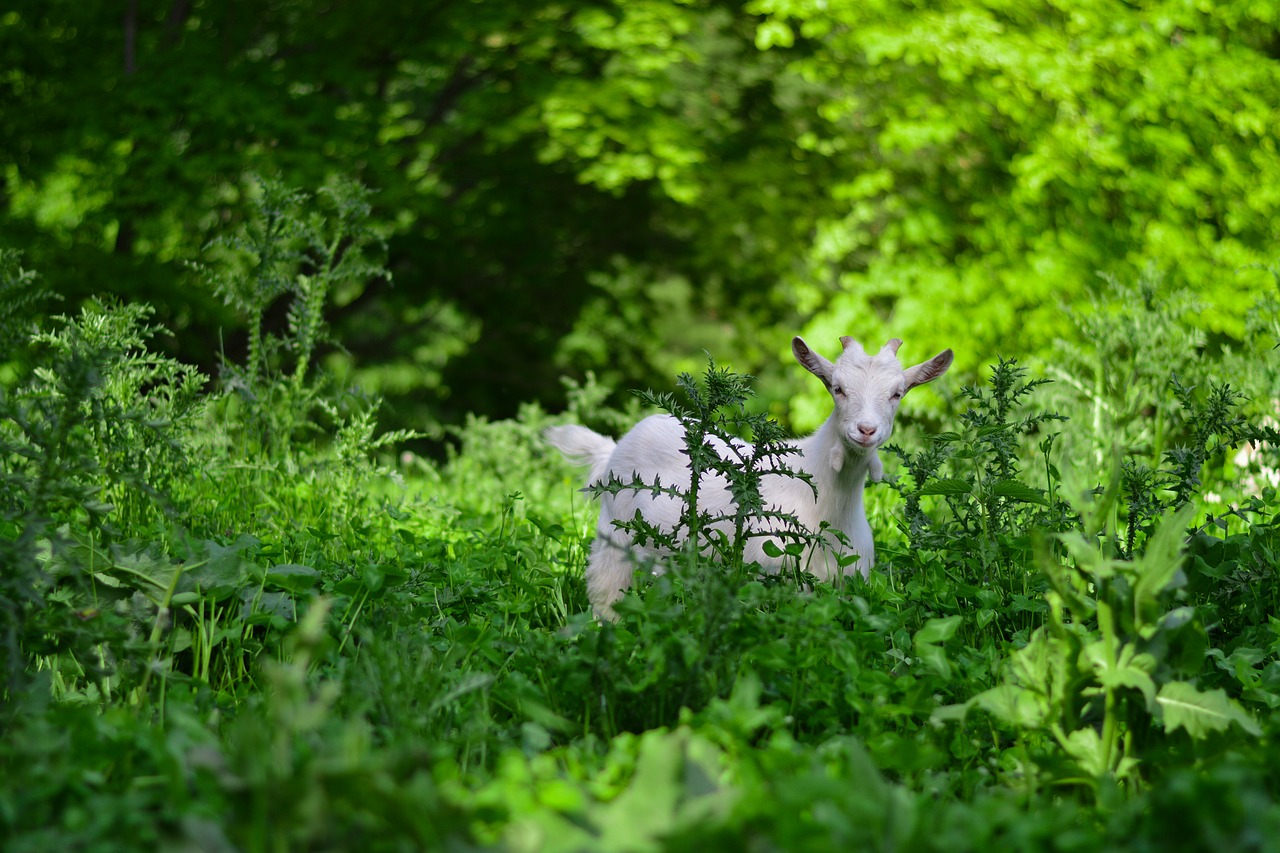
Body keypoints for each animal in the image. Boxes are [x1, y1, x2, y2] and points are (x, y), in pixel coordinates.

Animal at [545, 333, 957, 617]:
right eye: (837, 388)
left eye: (898, 393)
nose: (866, 430)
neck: (829, 503)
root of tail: (613, 449)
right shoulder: (775, 579)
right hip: (614, 541)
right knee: (605, 596)